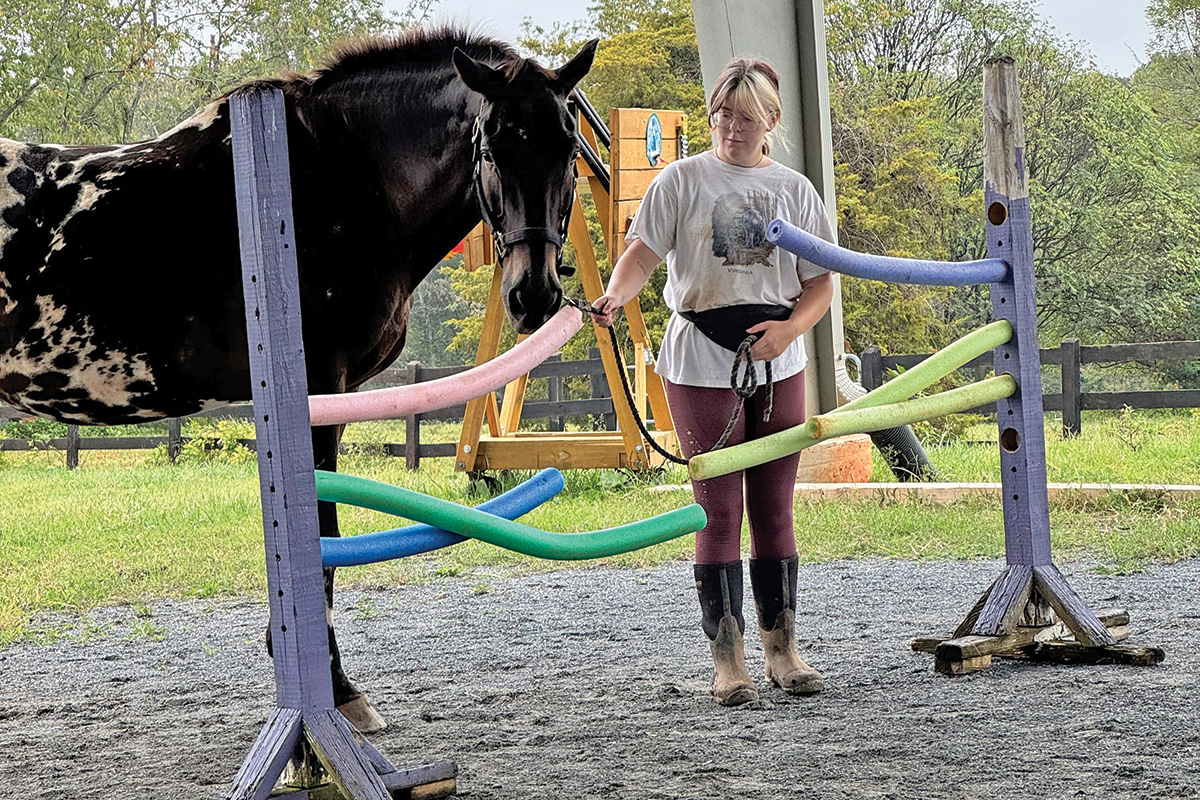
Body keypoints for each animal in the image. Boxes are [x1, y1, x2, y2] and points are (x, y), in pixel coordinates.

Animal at [0, 27, 597, 732]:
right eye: (493, 147)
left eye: (568, 147)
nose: (534, 296)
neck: (343, 177)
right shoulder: (318, 387)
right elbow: (322, 532)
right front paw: (337, 692)